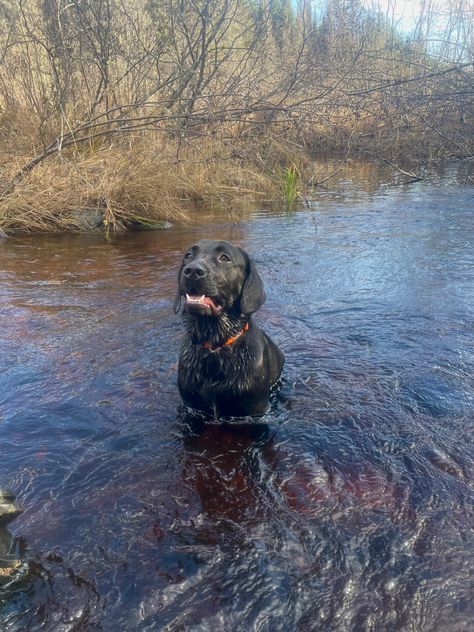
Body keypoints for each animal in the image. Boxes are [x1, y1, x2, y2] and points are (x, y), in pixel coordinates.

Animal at [175, 239, 284, 418]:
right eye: (188, 255)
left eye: (224, 257)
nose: (192, 271)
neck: (214, 345)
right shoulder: (191, 405)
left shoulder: (255, 408)